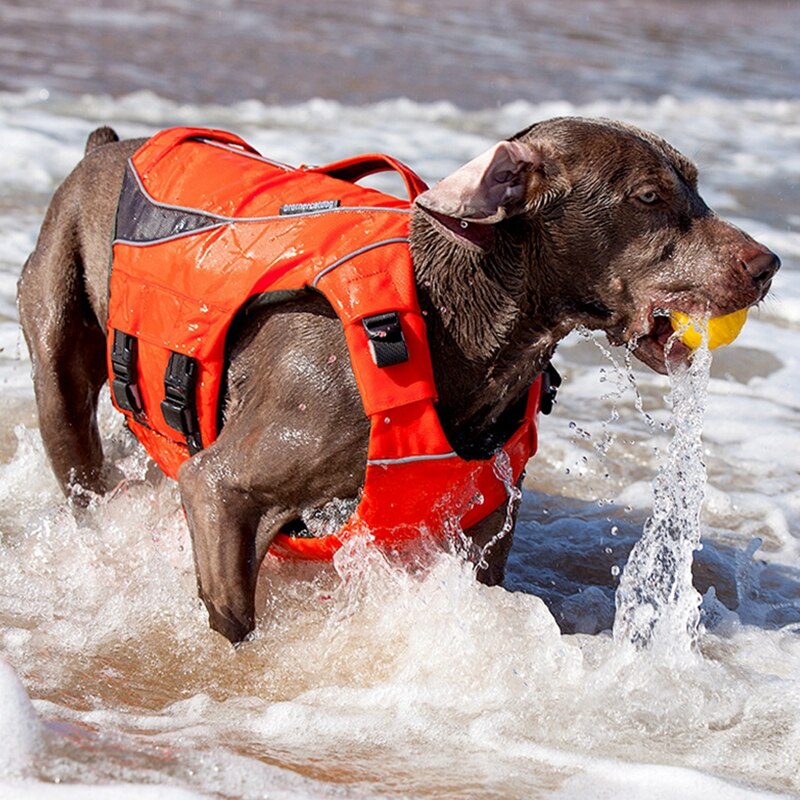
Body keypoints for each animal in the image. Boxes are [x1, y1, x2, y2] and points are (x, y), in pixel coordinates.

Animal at [20, 119, 780, 644]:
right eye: (648, 196)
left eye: (696, 183)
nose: (769, 264)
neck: (450, 321)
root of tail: (105, 144)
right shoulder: (220, 488)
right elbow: (235, 619)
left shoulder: (485, 533)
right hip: (59, 347)